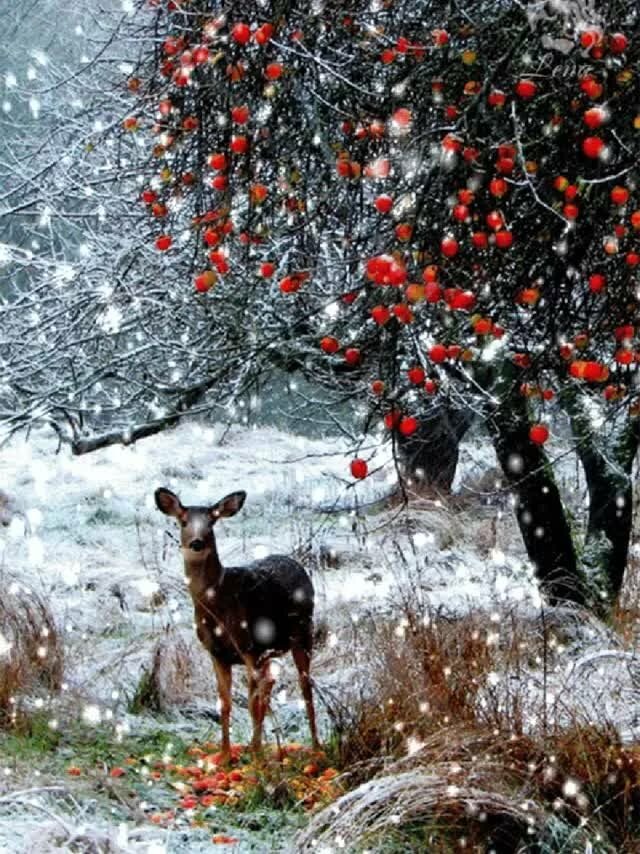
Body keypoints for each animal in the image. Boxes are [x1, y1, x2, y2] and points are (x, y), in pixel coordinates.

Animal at [154, 486, 319, 763]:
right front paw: (224, 755)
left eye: (211, 522)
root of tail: (296, 564)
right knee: (269, 685)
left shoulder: (249, 647)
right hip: (271, 650)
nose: (196, 543)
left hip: (302, 633)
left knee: (304, 688)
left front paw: (256, 759)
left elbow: (251, 704)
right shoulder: (217, 653)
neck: (217, 603)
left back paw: (315, 748)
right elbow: (225, 702)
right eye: (183, 521)